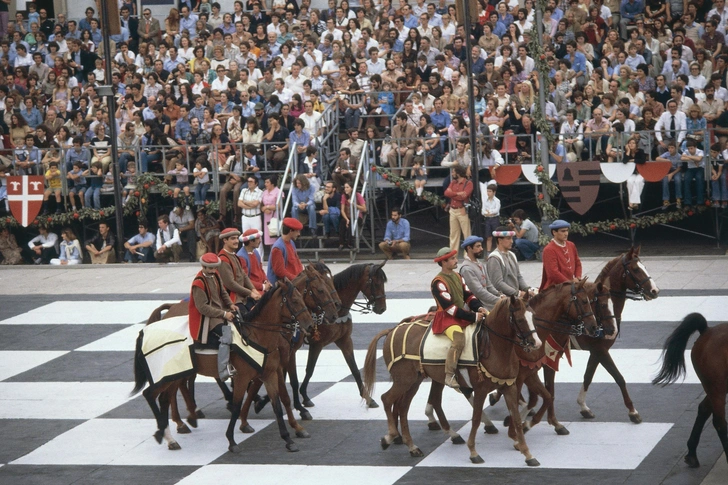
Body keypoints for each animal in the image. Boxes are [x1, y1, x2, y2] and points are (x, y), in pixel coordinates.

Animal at [132, 278, 314, 452]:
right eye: (295, 300)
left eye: (302, 297)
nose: (310, 324)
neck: (256, 335)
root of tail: (145, 331)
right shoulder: (242, 377)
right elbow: (237, 406)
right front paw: (232, 441)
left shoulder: (269, 374)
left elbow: (277, 405)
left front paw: (288, 440)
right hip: (166, 376)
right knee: (150, 394)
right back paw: (164, 431)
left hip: (176, 375)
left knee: (164, 398)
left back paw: (173, 436)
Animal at [362, 294, 540, 466]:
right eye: (520, 319)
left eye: (533, 316)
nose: (536, 343)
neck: (494, 346)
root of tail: (392, 330)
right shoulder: (480, 389)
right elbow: (475, 419)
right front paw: (473, 452)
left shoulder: (509, 386)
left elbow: (516, 419)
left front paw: (528, 454)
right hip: (403, 380)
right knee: (387, 399)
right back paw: (391, 436)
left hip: (414, 381)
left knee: (403, 407)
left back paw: (412, 446)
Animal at [656, 312, 728, 466]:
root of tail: (707, 331)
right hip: (717, 387)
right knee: (719, 422)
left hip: (716, 386)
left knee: (704, 409)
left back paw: (691, 454)